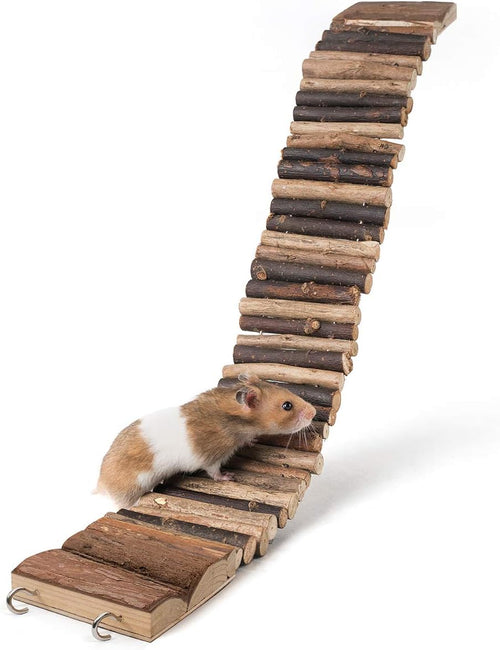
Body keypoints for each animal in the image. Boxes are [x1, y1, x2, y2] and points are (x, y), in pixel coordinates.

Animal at [95, 373, 316, 508]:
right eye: (287, 406)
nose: (314, 412)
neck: (233, 419)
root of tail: (100, 484)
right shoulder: (211, 458)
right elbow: (214, 472)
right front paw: (228, 477)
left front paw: (252, 441)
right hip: (128, 491)